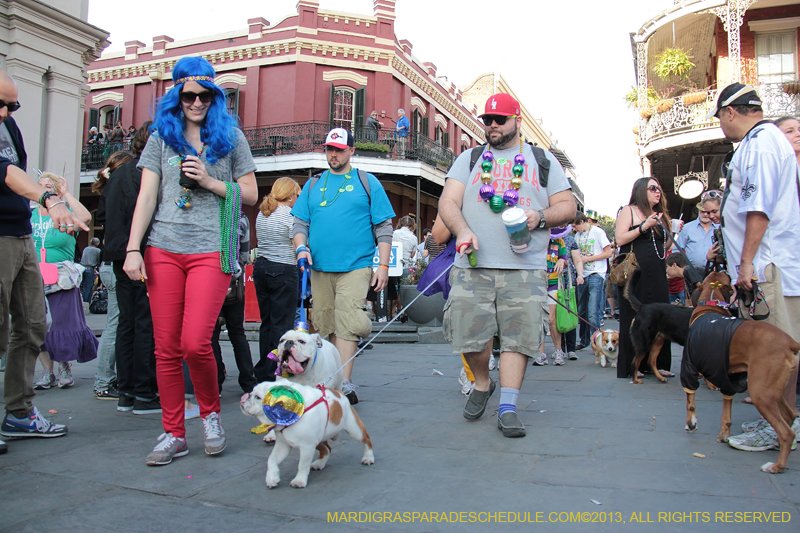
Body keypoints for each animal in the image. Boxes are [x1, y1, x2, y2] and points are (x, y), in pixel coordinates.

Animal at [680, 272, 800, 472]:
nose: (727, 271)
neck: (711, 305)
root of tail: (790, 342)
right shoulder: (729, 379)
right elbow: (726, 411)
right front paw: (724, 434)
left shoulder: (689, 368)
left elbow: (691, 402)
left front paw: (691, 424)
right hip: (773, 391)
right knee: (790, 416)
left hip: (760, 392)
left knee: (787, 432)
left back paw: (776, 466)